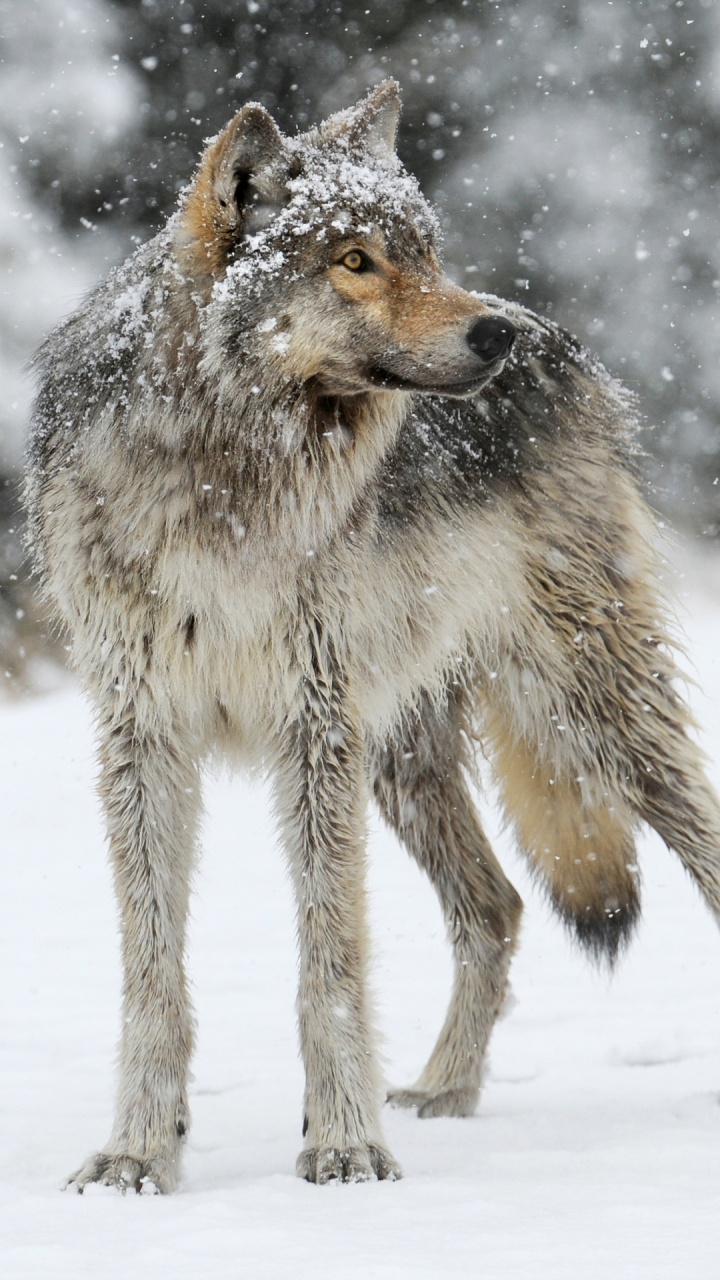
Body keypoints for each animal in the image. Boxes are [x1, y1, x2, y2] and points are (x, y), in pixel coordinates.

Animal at [25, 80, 720, 1193]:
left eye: (426, 252)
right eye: (354, 259)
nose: (493, 337)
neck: (225, 480)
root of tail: (562, 341)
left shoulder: (315, 728)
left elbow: (333, 962)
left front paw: (345, 1144)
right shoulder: (144, 735)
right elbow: (152, 973)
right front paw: (138, 1153)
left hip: (592, 706)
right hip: (401, 754)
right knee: (496, 906)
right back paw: (444, 1093)